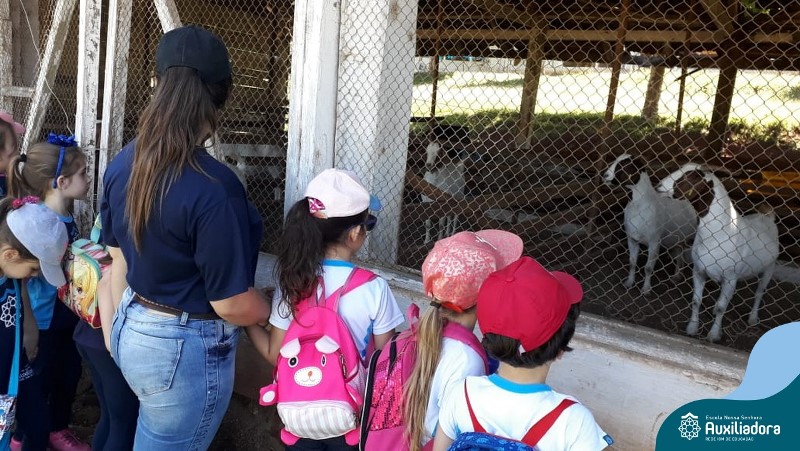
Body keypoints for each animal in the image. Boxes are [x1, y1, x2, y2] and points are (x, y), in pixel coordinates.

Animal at [604, 154, 696, 295]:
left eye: (625, 164)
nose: (605, 175)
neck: (640, 204)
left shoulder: (654, 242)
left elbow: (648, 268)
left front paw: (646, 290)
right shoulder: (632, 239)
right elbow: (632, 263)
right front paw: (629, 283)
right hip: (676, 239)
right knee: (679, 253)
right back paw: (676, 276)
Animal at [671, 167, 779, 342]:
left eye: (689, 179)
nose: (662, 186)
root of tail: (767, 216)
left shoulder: (730, 277)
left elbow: (722, 308)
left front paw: (714, 335)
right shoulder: (698, 271)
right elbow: (696, 301)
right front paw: (692, 328)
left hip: (770, 268)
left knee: (759, 292)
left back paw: (753, 318)